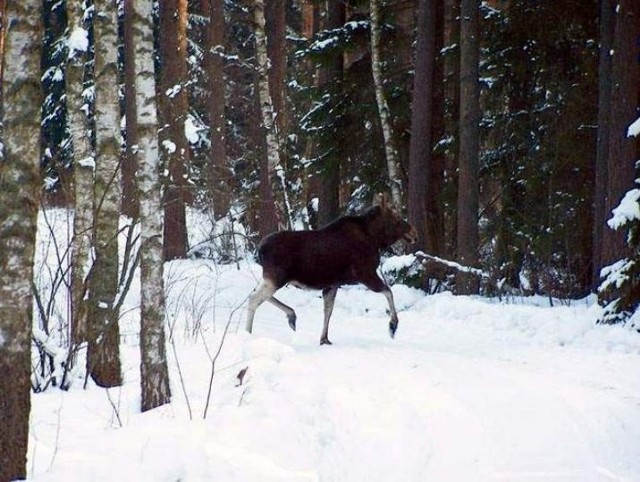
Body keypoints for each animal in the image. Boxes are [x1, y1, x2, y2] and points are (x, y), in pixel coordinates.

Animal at [246, 194, 420, 344]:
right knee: (254, 299)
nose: (414, 233)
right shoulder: (365, 274)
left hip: (272, 278)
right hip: (276, 278)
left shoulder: (332, 284)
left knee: (254, 294)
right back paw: (247, 333)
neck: (374, 238)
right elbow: (388, 292)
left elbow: (328, 311)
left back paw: (291, 315)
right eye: (396, 218)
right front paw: (393, 325)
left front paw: (324, 339)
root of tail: (260, 249)